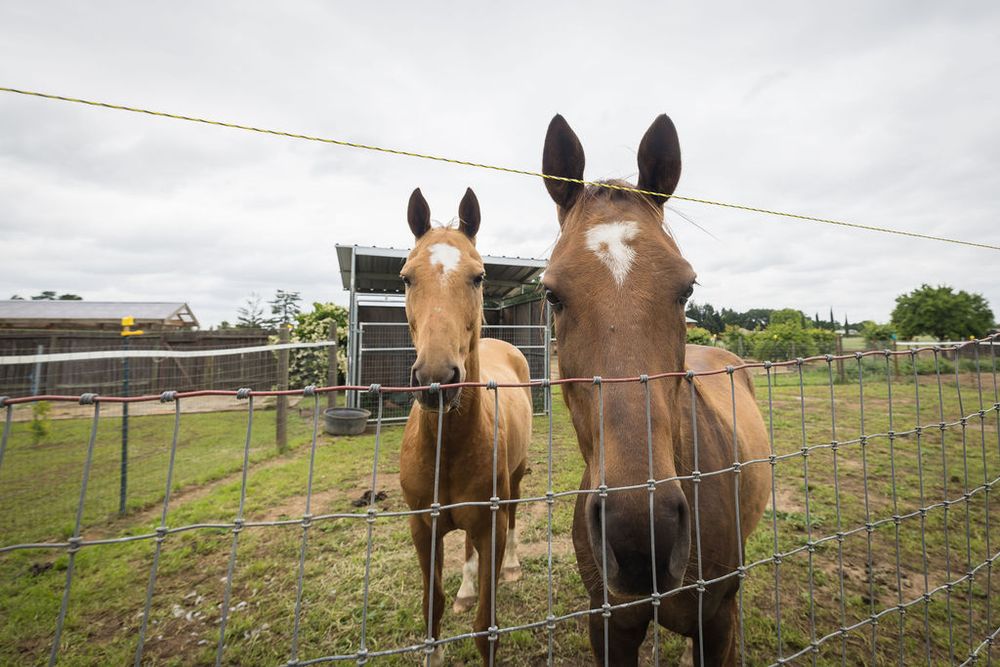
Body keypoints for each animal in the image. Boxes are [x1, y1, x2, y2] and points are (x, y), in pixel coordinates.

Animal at [398, 187, 533, 666]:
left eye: (478, 276)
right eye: (406, 278)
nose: (437, 379)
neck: (449, 445)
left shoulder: (490, 525)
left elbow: (485, 627)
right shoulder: (423, 528)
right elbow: (431, 603)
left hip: (514, 480)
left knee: (513, 516)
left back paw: (512, 568)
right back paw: (467, 588)